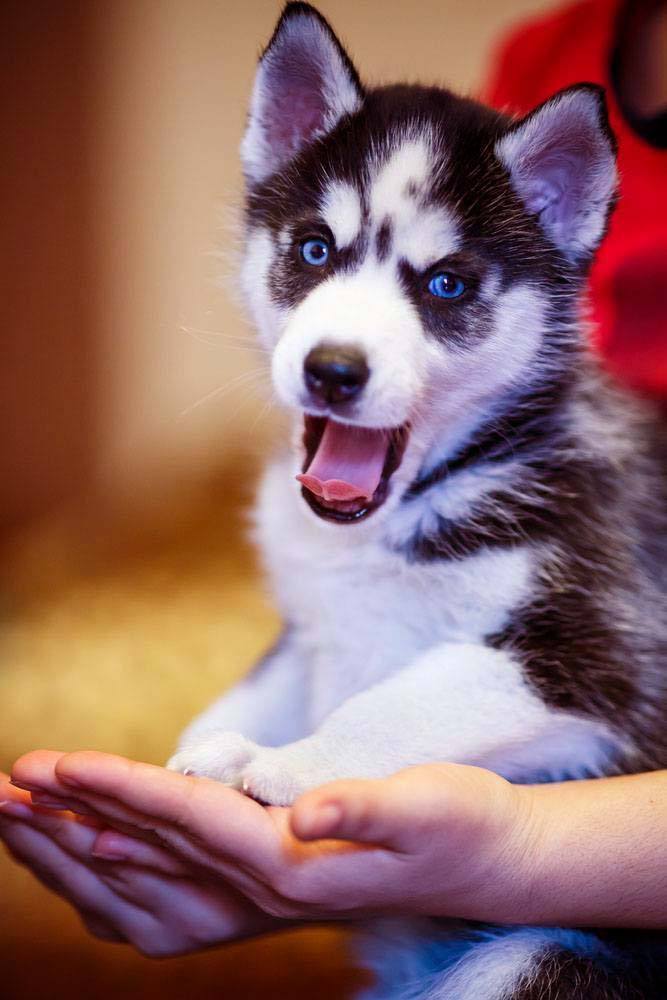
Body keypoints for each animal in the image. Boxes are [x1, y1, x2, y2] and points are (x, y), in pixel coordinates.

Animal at [170, 3, 667, 996]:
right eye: (313, 249)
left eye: (445, 284)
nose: (332, 369)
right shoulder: (312, 623)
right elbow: (265, 684)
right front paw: (200, 748)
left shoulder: (605, 655)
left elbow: (392, 704)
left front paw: (287, 765)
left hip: (532, 961)